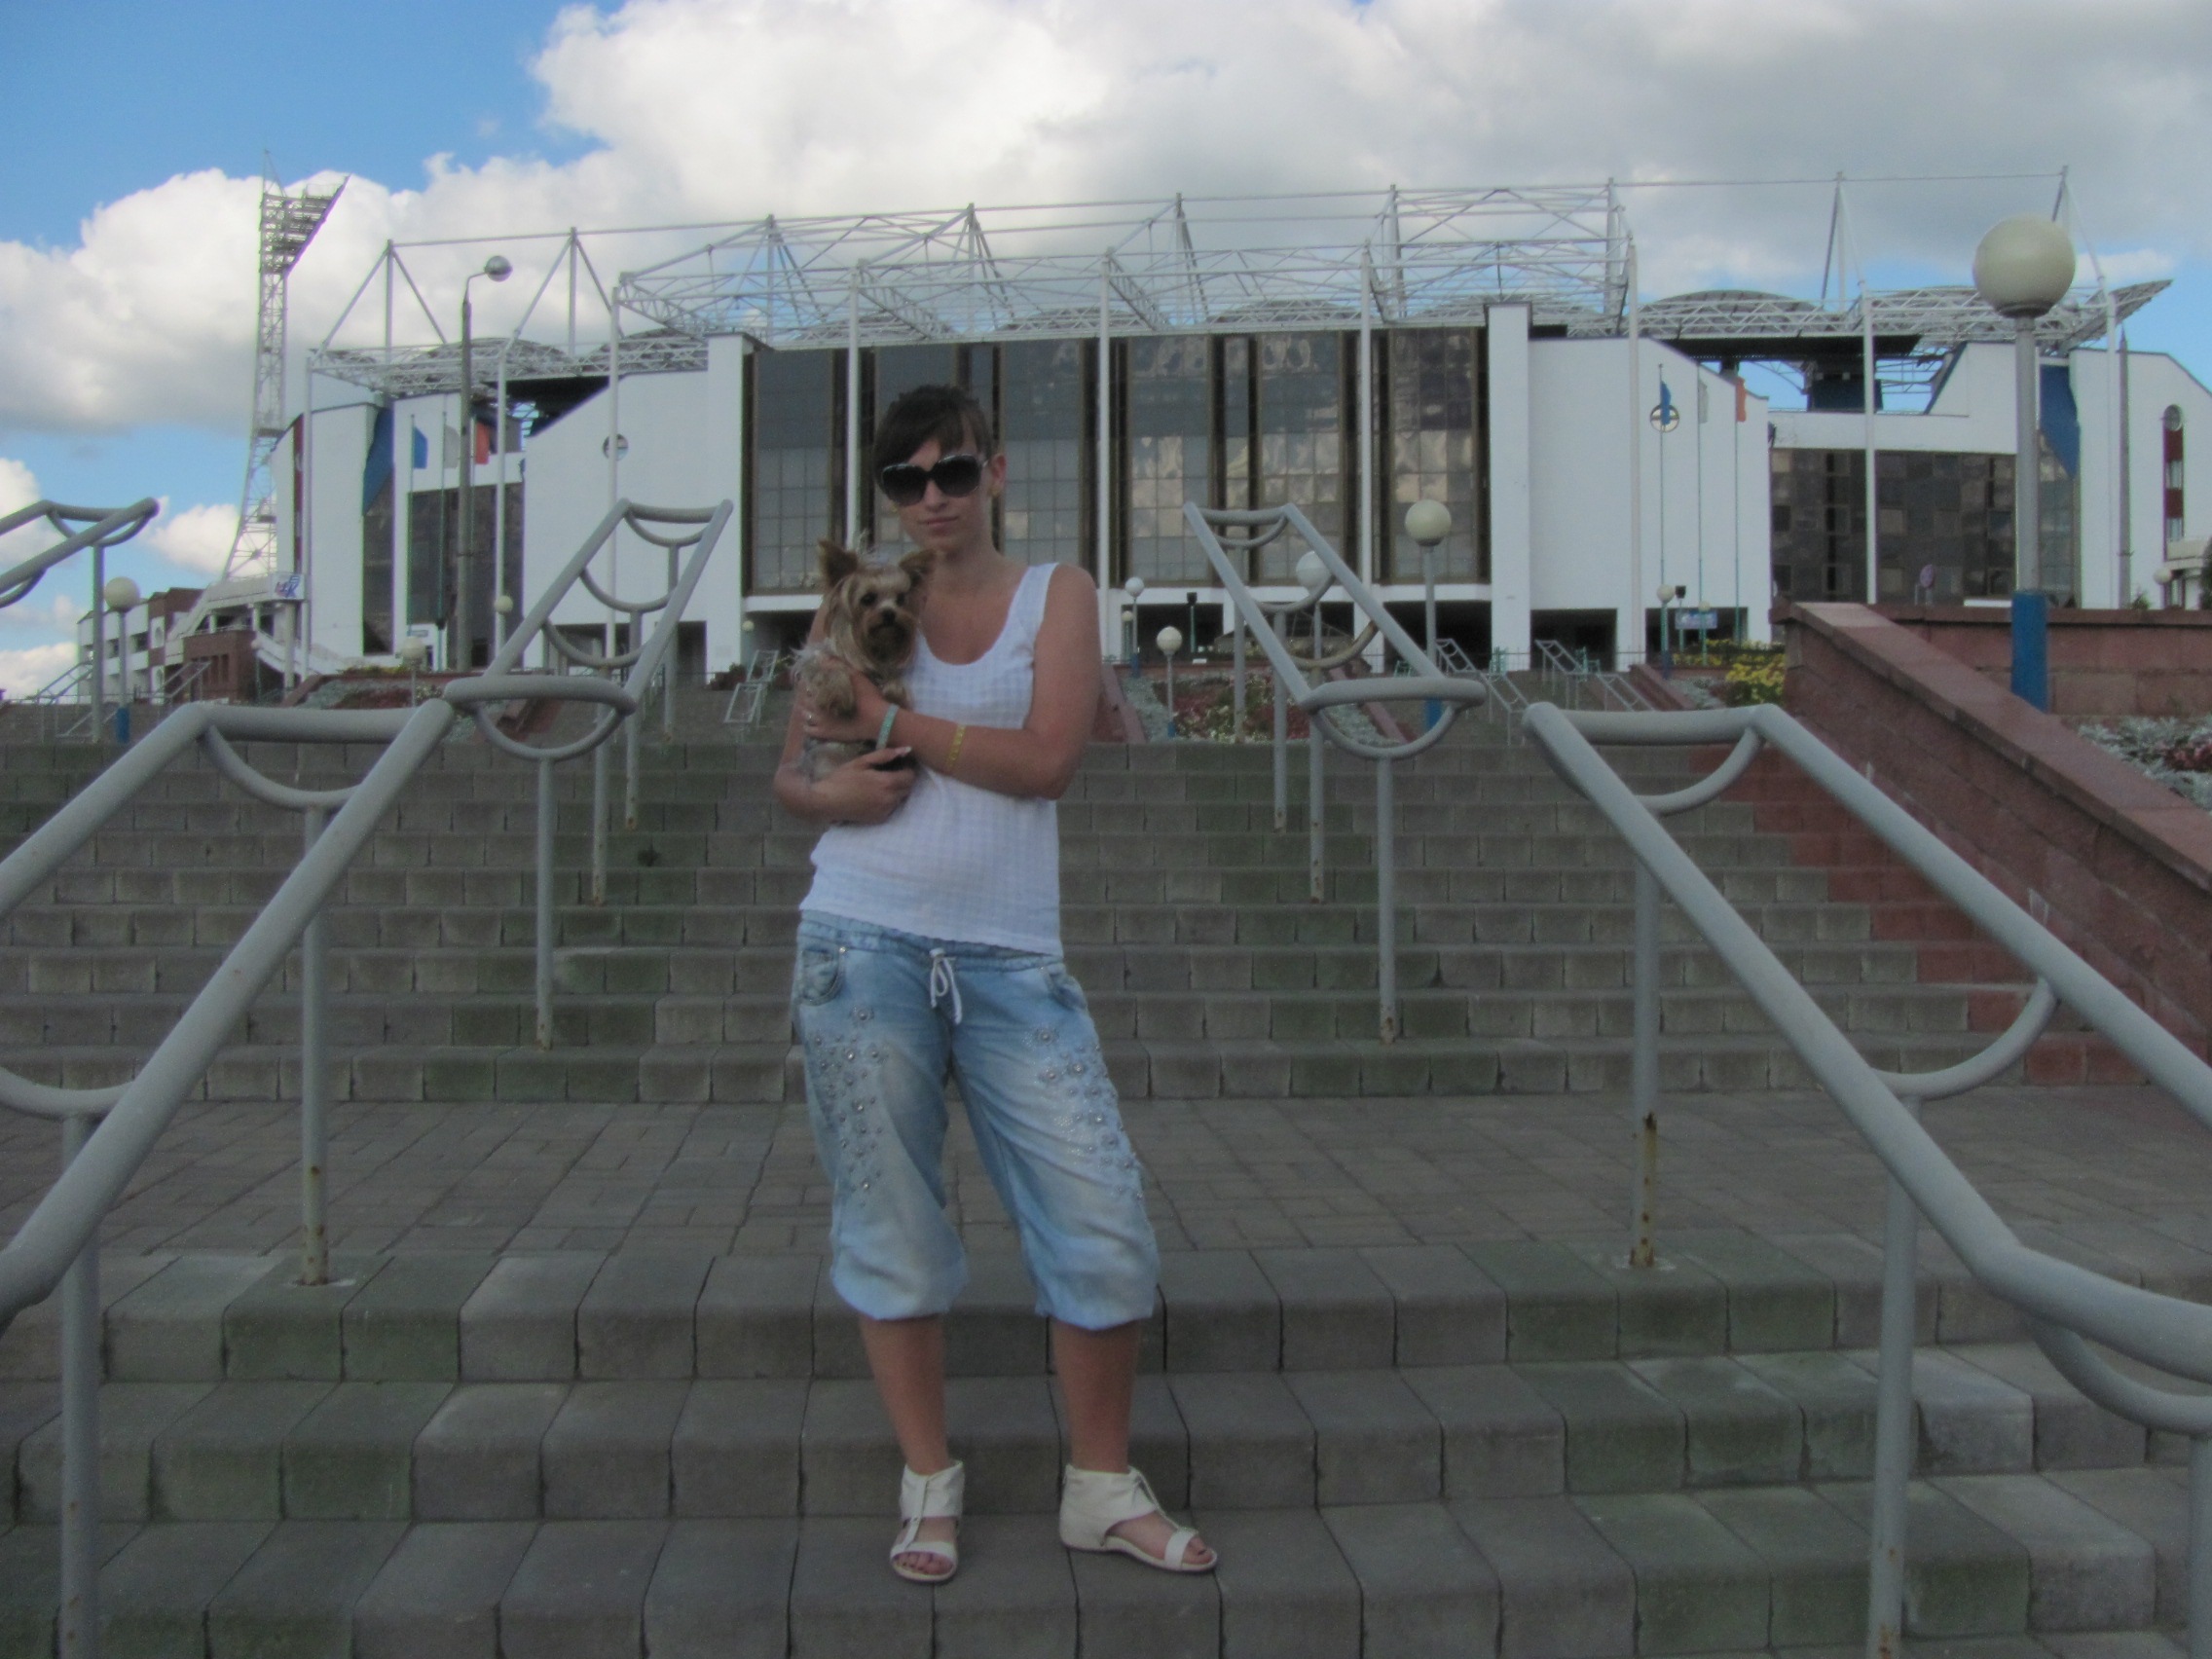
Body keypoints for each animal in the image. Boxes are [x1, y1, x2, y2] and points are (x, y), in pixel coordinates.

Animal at [795, 537, 933, 782]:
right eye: (868, 599)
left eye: (901, 599)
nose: (890, 613)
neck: (873, 651)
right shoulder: (814, 657)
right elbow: (824, 668)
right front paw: (839, 692)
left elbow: (893, 679)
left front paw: (893, 694)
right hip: (827, 761)